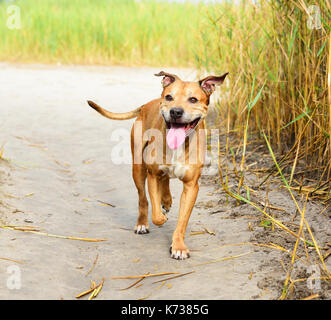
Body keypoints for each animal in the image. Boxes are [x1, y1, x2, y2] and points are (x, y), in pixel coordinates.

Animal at [87, 71, 228, 258]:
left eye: (193, 99)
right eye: (169, 97)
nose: (175, 111)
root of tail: (146, 105)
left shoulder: (191, 186)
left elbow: (182, 221)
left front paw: (178, 246)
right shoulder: (152, 175)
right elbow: (155, 213)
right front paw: (161, 216)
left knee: (165, 181)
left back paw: (166, 200)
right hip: (138, 169)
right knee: (143, 198)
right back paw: (143, 221)